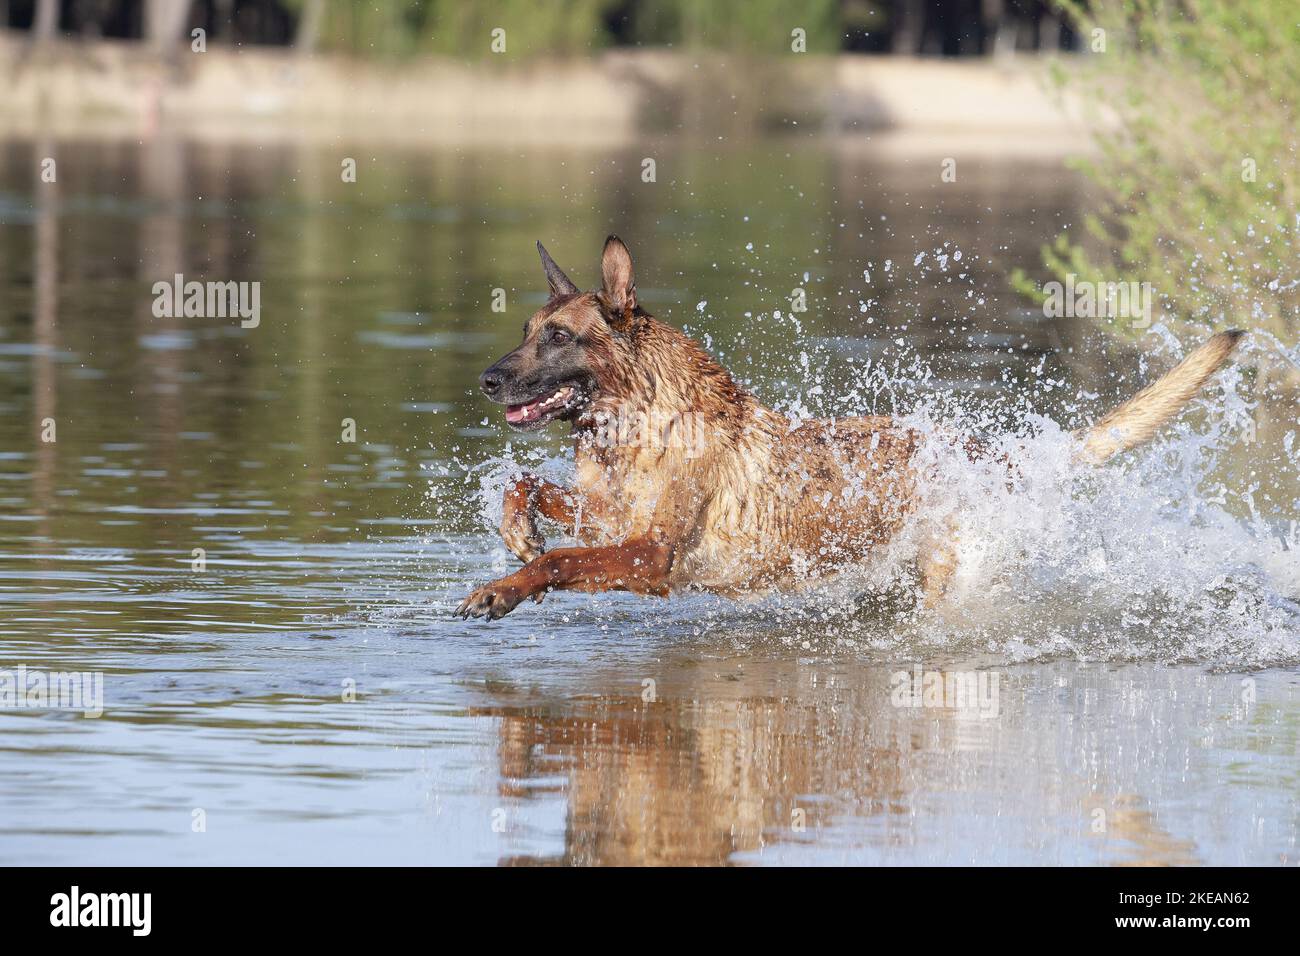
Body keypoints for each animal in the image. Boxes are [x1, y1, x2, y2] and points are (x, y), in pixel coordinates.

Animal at [454, 235, 1237, 616]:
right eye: (526, 331)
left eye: (558, 337)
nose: (487, 380)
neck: (636, 425)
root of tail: (1002, 457)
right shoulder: (610, 518)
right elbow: (529, 486)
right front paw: (517, 531)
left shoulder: (650, 557)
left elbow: (562, 561)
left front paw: (505, 587)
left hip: (954, 584)